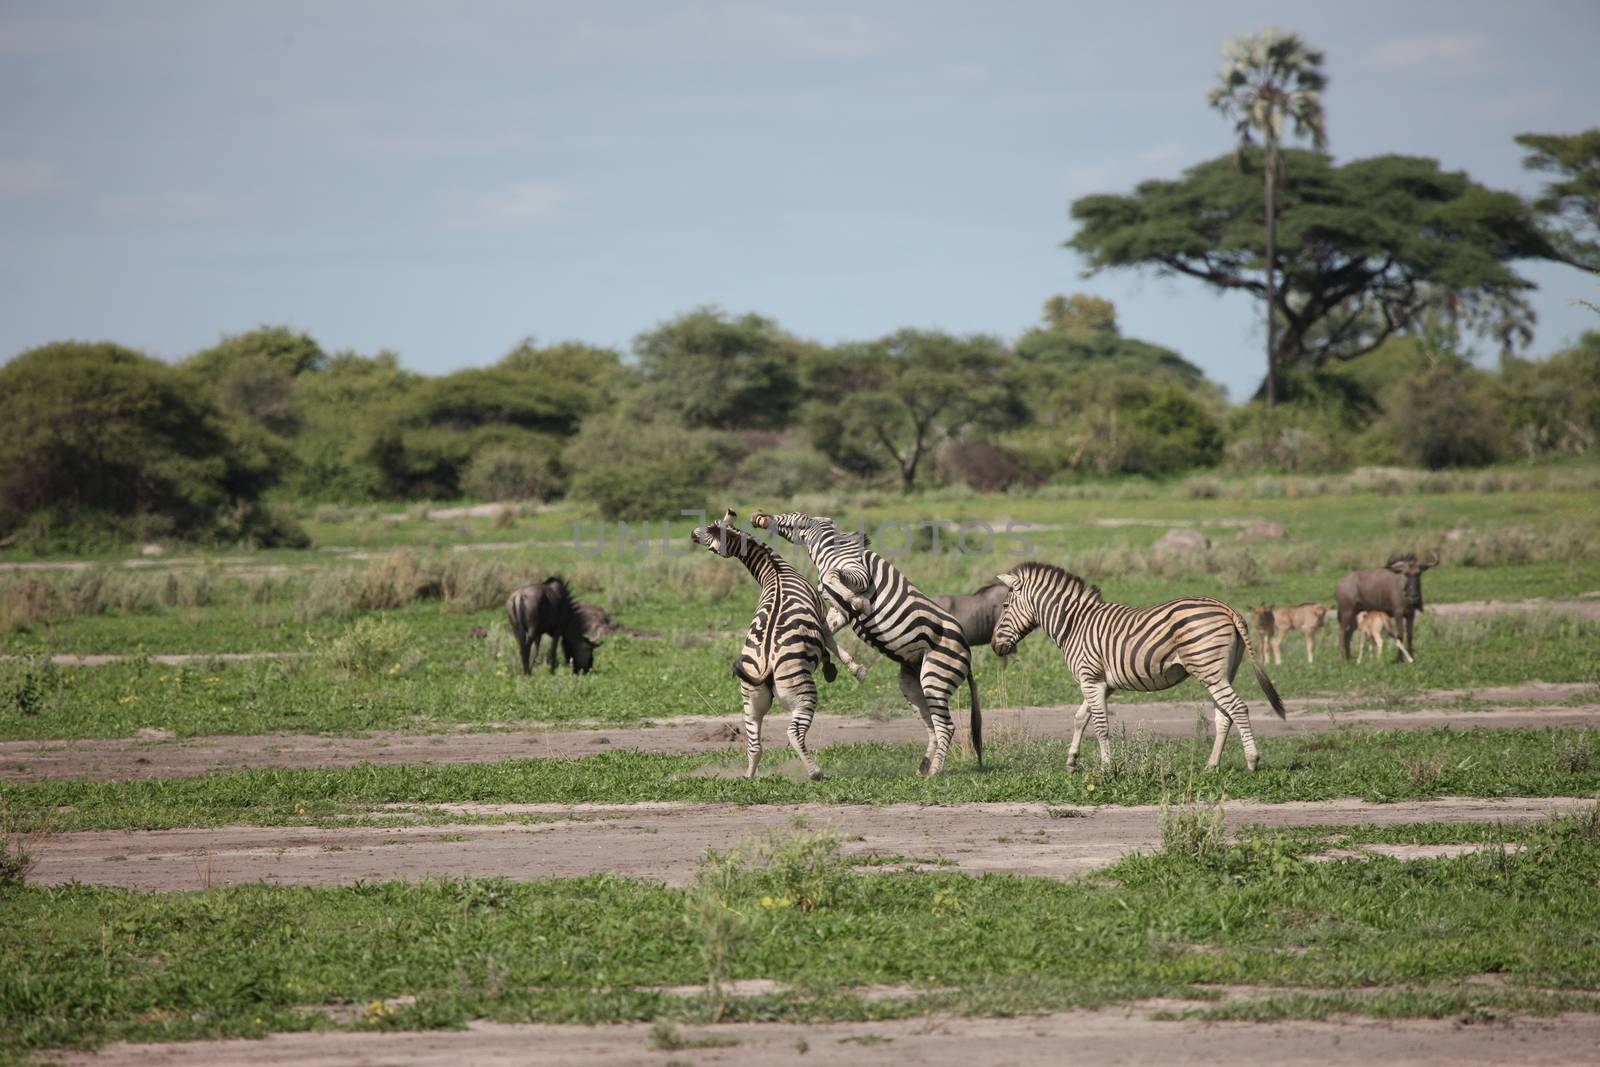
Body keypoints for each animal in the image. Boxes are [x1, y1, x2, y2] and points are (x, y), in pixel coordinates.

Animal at [688, 508, 864, 783]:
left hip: (751, 701)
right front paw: (845, 669)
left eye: (711, 528)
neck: (775, 571)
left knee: (754, 744)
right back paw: (815, 772)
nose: (692, 534)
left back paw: (749, 776)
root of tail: (764, 666)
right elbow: (831, 644)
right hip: (802, 694)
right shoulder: (821, 616)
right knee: (794, 733)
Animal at [742, 511, 979, 777]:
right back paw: (923, 768)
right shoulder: (839, 612)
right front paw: (849, 666)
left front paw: (860, 603)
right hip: (913, 682)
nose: (758, 517)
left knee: (946, 727)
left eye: (791, 518)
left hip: (936, 677)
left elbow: (835, 580)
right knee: (932, 727)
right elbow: (826, 629)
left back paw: (935, 771)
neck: (828, 548)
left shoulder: (858, 573)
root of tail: (965, 647)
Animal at [985, 559, 1286, 777]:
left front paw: (1107, 767)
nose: (994, 645)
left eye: (1005, 605)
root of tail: (1225, 607)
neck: (1074, 625)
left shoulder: (1091, 679)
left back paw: (1252, 761)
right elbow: (1081, 718)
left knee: (1238, 709)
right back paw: (1211, 766)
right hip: (1220, 673)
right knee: (1225, 715)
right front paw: (1071, 761)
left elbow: (1100, 724)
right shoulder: (1099, 682)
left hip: (1209, 669)